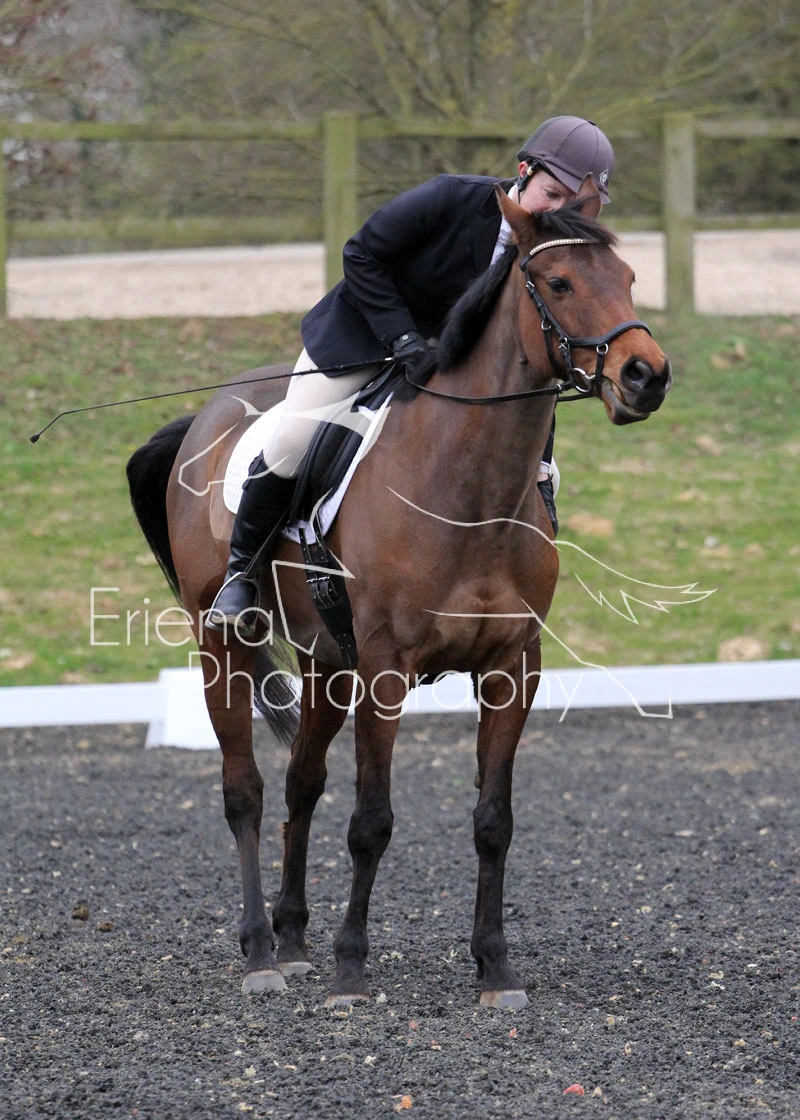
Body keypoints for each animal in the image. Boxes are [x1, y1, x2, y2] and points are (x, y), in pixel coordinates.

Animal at [126, 177, 671, 1010]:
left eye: (632, 279)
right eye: (558, 283)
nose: (647, 376)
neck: (471, 488)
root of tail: (206, 415)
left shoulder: (512, 667)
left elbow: (492, 819)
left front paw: (495, 969)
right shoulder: (386, 669)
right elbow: (372, 822)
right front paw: (352, 969)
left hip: (325, 660)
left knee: (301, 784)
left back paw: (292, 940)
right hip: (223, 640)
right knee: (245, 789)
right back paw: (259, 954)